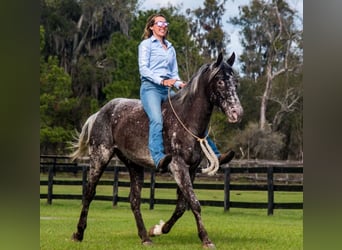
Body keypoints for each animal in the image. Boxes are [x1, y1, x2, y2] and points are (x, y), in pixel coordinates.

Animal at [69, 52, 242, 248]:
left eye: (235, 82)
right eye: (220, 81)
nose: (237, 113)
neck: (186, 119)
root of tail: (99, 113)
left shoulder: (191, 169)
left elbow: (182, 206)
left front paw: (158, 229)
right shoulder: (178, 166)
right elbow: (194, 203)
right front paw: (206, 239)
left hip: (134, 165)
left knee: (134, 200)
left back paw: (145, 237)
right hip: (100, 157)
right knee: (89, 193)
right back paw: (78, 233)